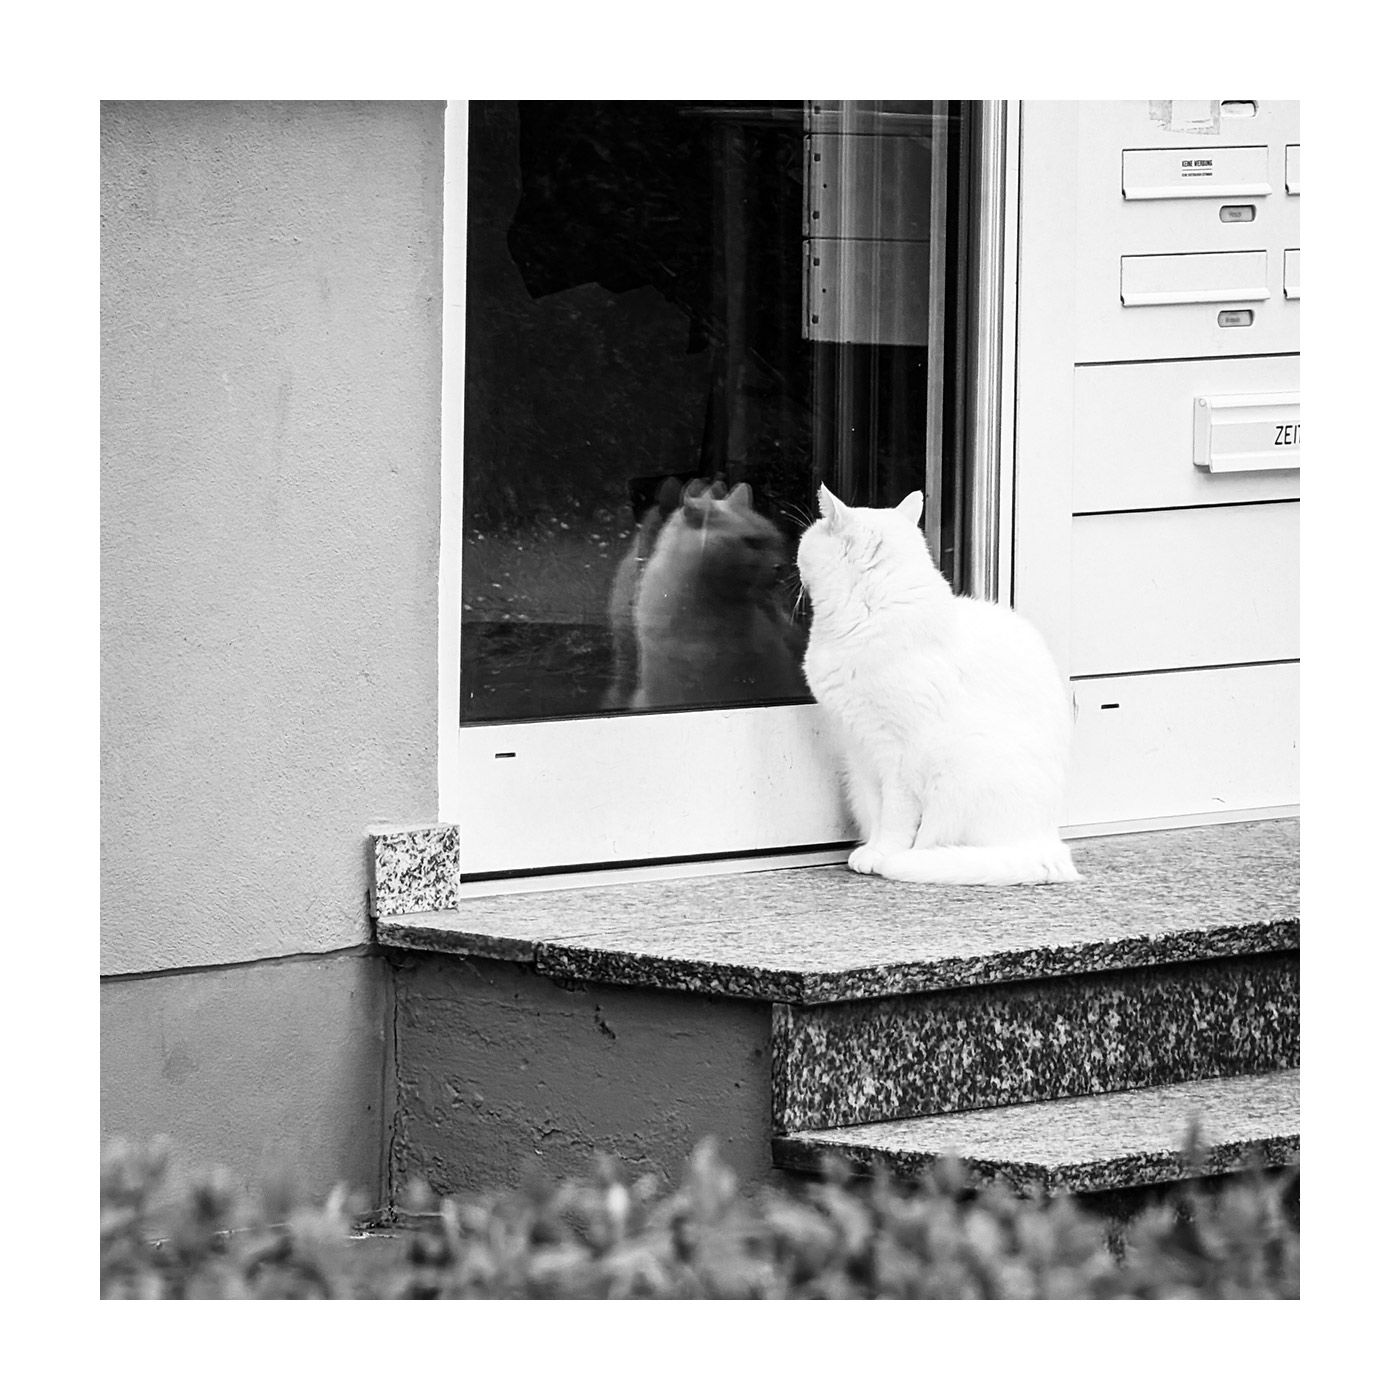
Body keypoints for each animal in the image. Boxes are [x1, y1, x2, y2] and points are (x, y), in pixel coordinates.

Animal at [795, 484, 1075, 884]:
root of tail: (1048, 844)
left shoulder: (897, 756)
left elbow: (895, 817)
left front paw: (884, 854)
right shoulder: (862, 748)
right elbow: (877, 809)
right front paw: (871, 850)